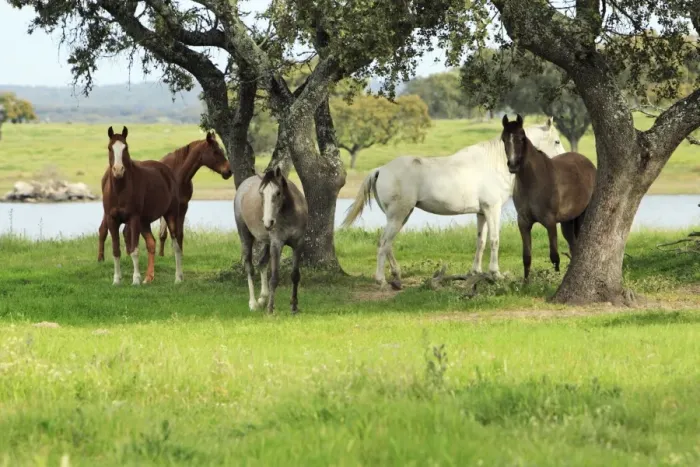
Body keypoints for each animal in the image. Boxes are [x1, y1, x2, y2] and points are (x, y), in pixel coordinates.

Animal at [97, 131, 232, 262]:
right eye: (216, 151)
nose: (229, 171)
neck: (179, 175)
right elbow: (164, 233)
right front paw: (163, 255)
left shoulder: (183, 206)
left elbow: (179, 233)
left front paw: (177, 254)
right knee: (104, 230)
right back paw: (101, 258)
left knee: (124, 232)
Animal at [101, 126, 183, 285]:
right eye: (109, 147)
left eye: (125, 147)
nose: (118, 170)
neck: (120, 190)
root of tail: (166, 171)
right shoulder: (112, 219)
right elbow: (116, 250)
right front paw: (116, 280)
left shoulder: (133, 219)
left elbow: (134, 250)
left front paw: (136, 280)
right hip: (144, 221)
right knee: (151, 243)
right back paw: (148, 278)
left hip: (170, 214)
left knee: (176, 244)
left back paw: (178, 278)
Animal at [234, 167, 308, 314]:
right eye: (261, 193)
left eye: (278, 192)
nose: (268, 222)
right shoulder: (276, 244)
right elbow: (274, 278)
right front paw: (270, 308)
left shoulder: (298, 244)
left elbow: (295, 275)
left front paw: (294, 306)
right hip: (245, 236)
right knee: (249, 267)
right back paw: (253, 303)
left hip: (267, 243)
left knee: (262, 263)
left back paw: (262, 298)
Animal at [341, 118, 565, 289]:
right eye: (556, 141)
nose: (562, 160)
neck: (496, 162)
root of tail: (380, 169)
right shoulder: (493, 209)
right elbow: (494, 240)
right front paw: (496, 273)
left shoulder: (482, 213)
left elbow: (481, 241)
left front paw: (475, 271)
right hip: (398, 215)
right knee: (383, 243)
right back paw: (381, 280)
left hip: (401, 216)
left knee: (388, 244)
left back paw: (396, 276)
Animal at [500, 114, 596, 281]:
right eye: (504, 139)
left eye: (521, 138)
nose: (513, 165)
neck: (533, 181)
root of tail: (588, 163)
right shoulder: (523, 223)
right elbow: (526, 256)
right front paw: (526, 283)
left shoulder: (550, 222)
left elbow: (554, 256)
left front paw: (554, 279)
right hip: (567, 222)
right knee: (573, 246)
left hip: (582, 216)